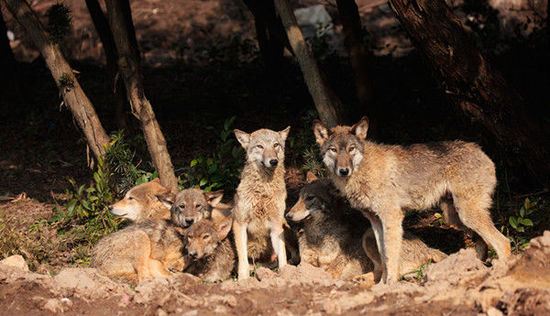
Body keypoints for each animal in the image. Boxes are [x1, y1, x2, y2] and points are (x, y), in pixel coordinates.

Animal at [233, 126, 294, 278]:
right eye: (260, 146)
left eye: (275, 145)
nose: (273, 161)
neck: (263, 190)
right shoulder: (240, 223)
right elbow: (243, 259)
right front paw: (244, 280)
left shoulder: (276, 225)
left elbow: (282, 255)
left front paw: (285, 274)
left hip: (285, 226)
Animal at [314, 116, 512, 284]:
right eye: (333, 150)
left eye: (351, 149)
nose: (343, 170)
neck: (363, 170)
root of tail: (480, 150)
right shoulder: (376, 222)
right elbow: (383, 257)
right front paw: (382, 284)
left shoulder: (392, 218)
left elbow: (391, 257)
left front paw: (389, 284)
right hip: (455, 218)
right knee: (485, 242)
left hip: (466, 215)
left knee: (503, 242)